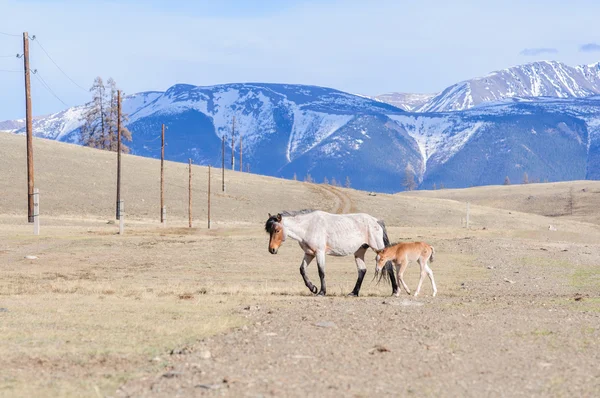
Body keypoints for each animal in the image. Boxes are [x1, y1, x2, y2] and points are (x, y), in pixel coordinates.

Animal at [266, 210, 398, 296]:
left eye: (277, 230)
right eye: (269, 231)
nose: (272, 249)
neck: (308, 226)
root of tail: (376, 221)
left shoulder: (319, 253)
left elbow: (321, 272)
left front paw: (321, 292)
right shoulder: (309, 253)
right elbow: (302, 269)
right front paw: (313, 288)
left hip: (378, 247)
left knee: (388, 265)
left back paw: (395, 291)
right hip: (360, 251)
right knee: (362, 270)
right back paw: (353, 293)